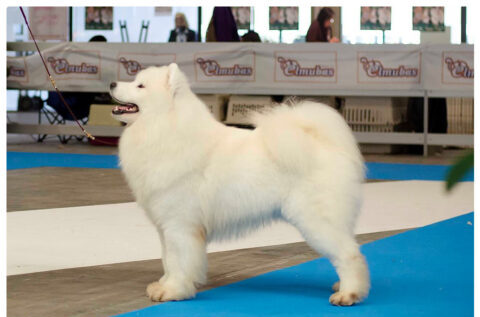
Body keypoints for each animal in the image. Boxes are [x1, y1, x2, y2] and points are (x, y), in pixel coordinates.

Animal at [109, 63, 372, 304]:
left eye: (140, 86)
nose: (111, 83)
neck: (164, 128)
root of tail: (327, 144)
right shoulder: (165, 226)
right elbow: (167, 259)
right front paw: (164, 284)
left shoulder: (179, 224)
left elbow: (178, 260)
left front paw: (173, 291)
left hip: (316, 220)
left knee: (349, 254)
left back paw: (348, 294)